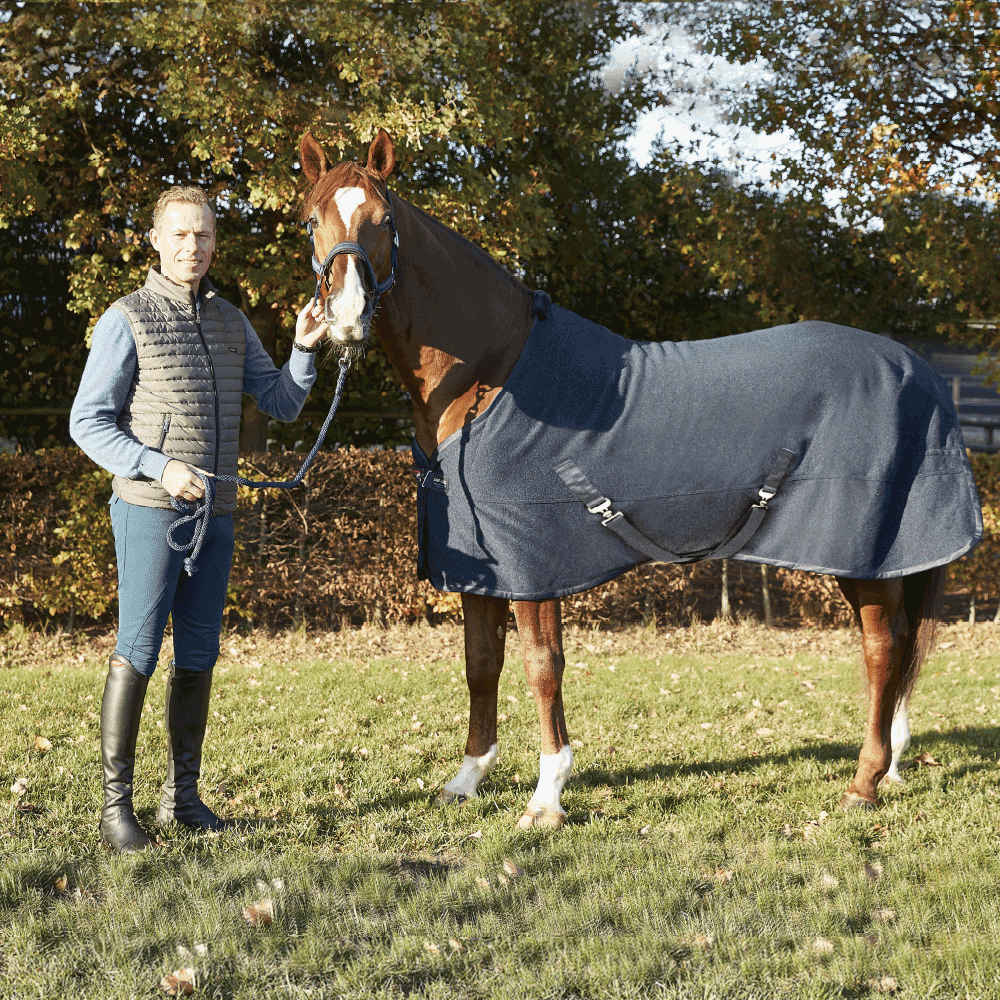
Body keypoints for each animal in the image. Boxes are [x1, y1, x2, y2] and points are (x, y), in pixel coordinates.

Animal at [297, 128, 982, 828]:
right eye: (311, 221)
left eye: (383, 221)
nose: (344, 320)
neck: (492, 373)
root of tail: (920, 371)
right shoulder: (481, 567)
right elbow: (480, 664)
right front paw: (467, 778)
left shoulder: (534, 566)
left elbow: (542, 666)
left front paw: (546, 798)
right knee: (894, 650)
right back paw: (890, 767)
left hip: (861, 554)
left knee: (882, 647)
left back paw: (863, 782)